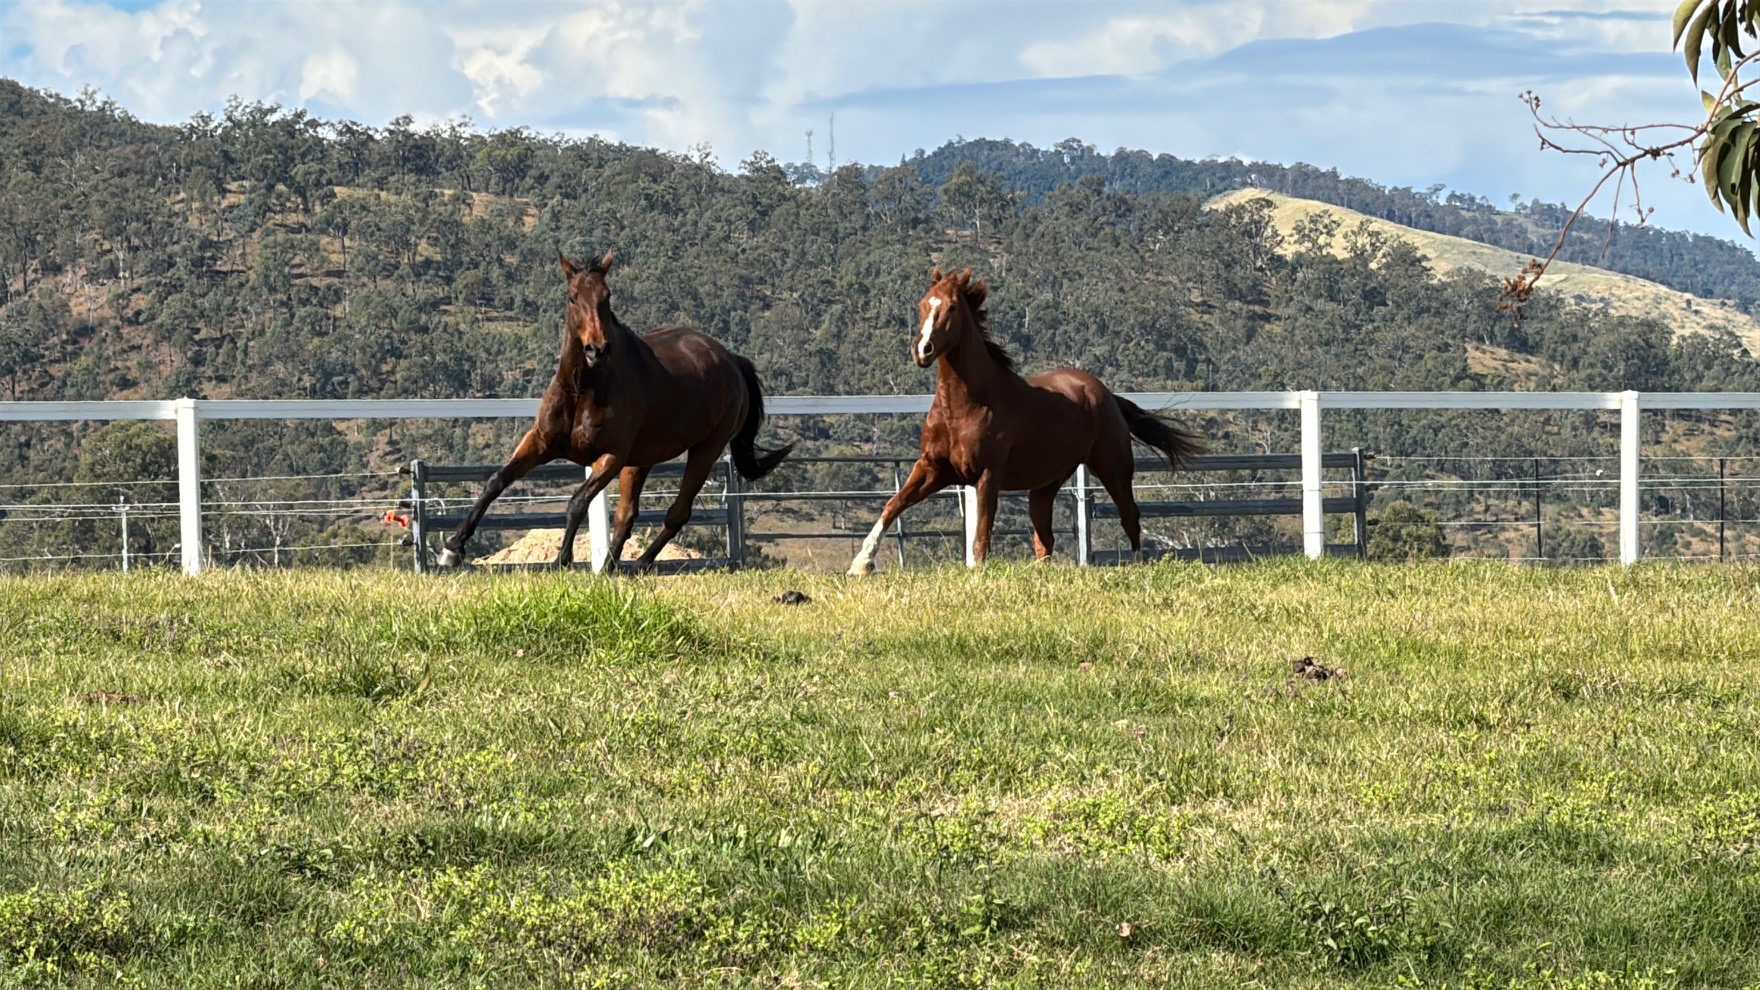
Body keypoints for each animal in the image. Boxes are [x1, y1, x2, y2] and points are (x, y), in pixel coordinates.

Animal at [435, 251, 793, 572]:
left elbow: (577, 502)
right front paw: (453, 547)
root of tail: (730, 359)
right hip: (644, 458)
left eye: (606, 297)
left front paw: (561, 561)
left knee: (677, 513)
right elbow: (497, 481)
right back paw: (609, 567)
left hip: (705, 450)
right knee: (627, 515)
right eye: (572, 297)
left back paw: (639, 565)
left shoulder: (610, 457)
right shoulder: (540, 442)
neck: (583, 389)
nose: (597, 349)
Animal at [847, 267, 1204, 574]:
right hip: (1045, 485)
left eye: (951, 308)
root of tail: (1105, 394)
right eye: (923, 304)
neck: (963, 408)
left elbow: (982, 534)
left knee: (1129, 514)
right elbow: (893, 504)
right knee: (1044, 538)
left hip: (1113, 467)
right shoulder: (933, 468)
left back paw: (1138, 565)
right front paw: (861, 564)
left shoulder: (988, 475)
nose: (923, 349)